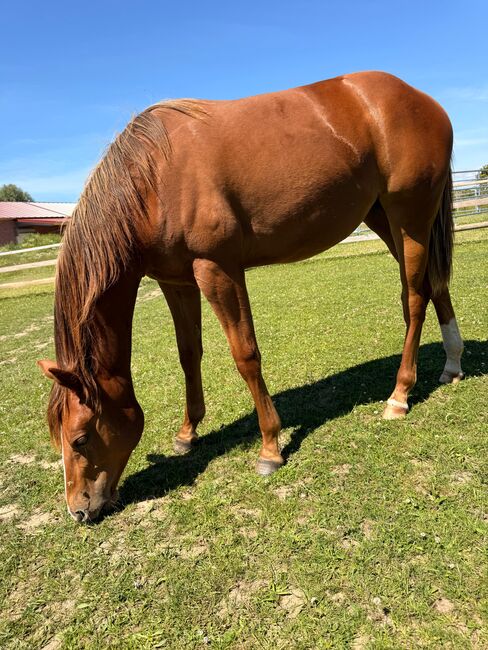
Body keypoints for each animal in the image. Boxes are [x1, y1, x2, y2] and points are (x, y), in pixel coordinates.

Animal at [38, 71, 464, 523]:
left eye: (81, 438)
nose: (78, 511)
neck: (153, 180)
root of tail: (421, 99)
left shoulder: (217, 270)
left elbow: (245, 355)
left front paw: (270, 448)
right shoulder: (177, 282)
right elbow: (189, 354)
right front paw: (188, 432)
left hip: (410, 217)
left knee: (415, 299)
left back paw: (399, 396)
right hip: (384, 217)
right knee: (434, 286)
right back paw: (452, 364)